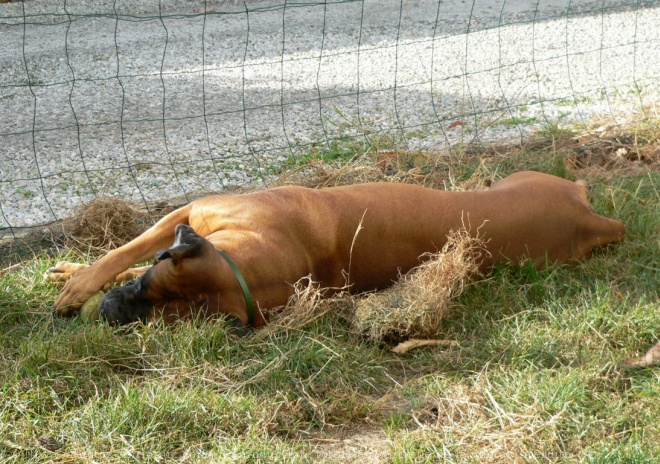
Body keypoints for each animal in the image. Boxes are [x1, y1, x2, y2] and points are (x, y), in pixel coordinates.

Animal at [49, 172, 628, 328]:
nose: (113, 312)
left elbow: (121, 251)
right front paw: (78, 276)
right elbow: (123, 251)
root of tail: (591, 215)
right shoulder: (186, 219)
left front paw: (78, 286)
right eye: (147, 285)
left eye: (157, 313)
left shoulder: (186, 215)